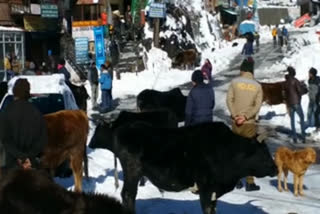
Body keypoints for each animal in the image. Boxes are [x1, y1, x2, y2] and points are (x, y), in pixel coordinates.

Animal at [94, 122, 276, 214]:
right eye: (264, 152)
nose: (275, 169)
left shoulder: (214, 192)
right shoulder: (206, 189)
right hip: (132, 170)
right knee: (128, 195)